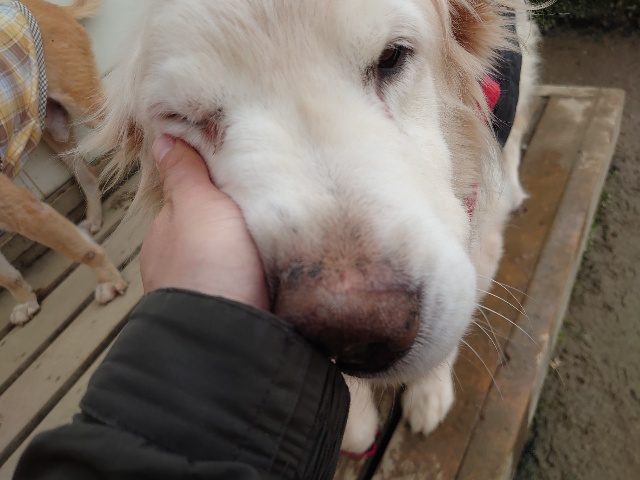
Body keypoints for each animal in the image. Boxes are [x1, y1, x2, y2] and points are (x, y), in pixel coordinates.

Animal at [0, 0, 127, 326]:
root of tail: (57, 9)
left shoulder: (24, 208)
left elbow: (82, 251)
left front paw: (109, 282)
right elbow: (7, 277)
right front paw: (26, 302)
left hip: (88, 107)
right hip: (54, 128)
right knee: (88, 173)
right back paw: (94, 217)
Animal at [86, 0, 539, 453]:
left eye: (391, 57)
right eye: (183, 117)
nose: (351, 332)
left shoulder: (477, 243)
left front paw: (429, 393)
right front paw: (356, 423)